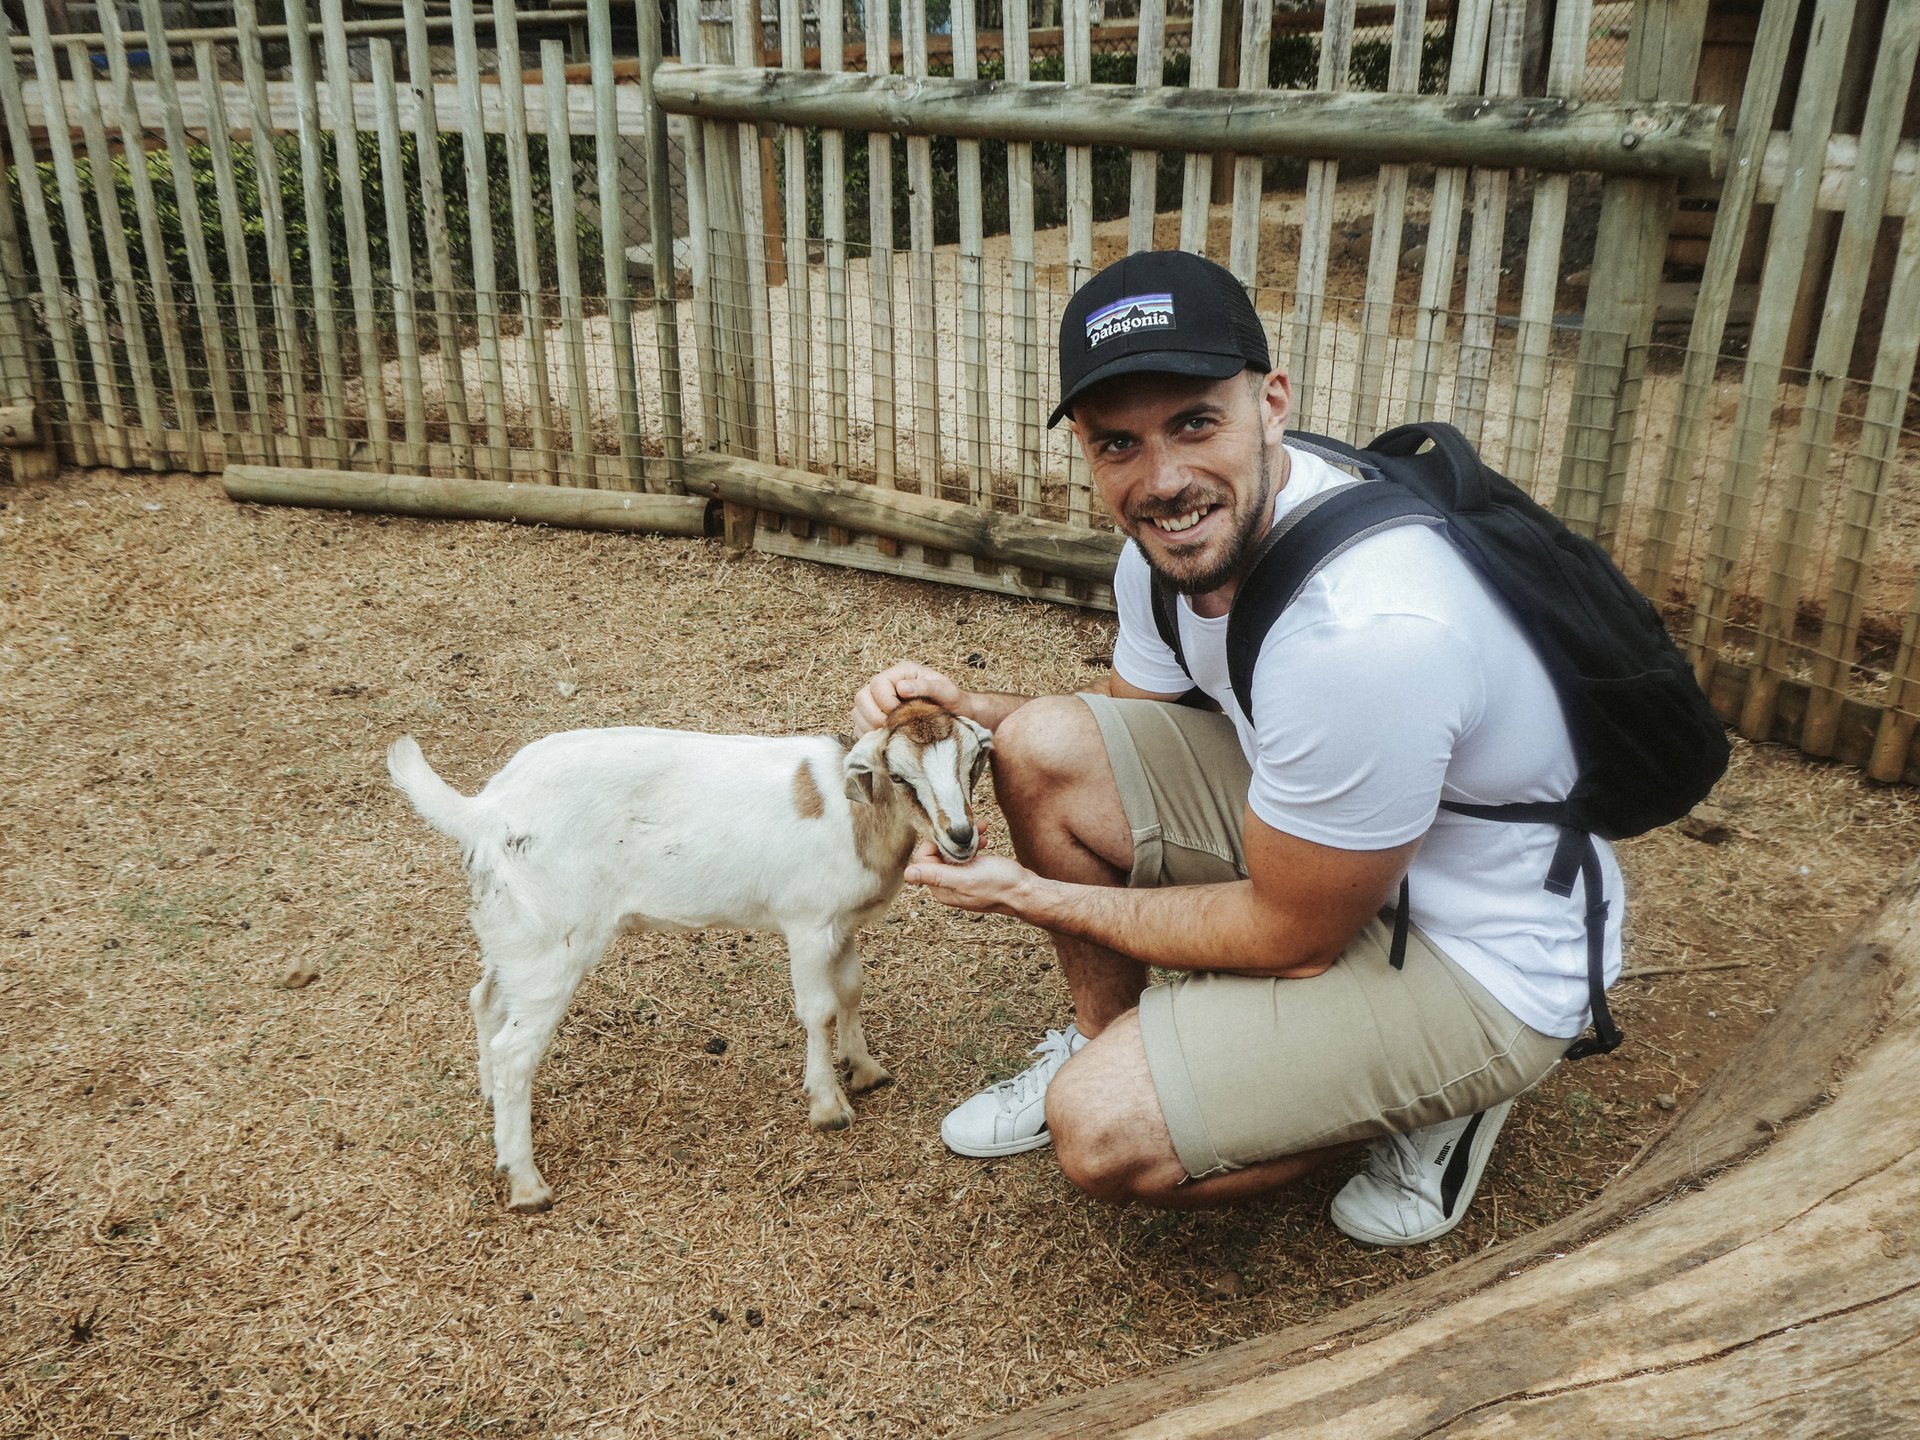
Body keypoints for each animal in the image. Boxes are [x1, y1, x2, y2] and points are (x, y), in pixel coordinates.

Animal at [384, 706, 998, 1213]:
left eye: (973, 764)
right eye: (900, 776)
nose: (961, 837)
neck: (853, 819)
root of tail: (483, 812)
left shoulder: (840, 924)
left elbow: (850, 988)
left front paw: (866, 1070)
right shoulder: (806, 922)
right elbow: (818, 1008)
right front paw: (828, 1106)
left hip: (513, 933)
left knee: (486, 1000)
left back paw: (491, 1099)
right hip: (553, 945)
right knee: (516, 1050)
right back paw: (527, 1183)